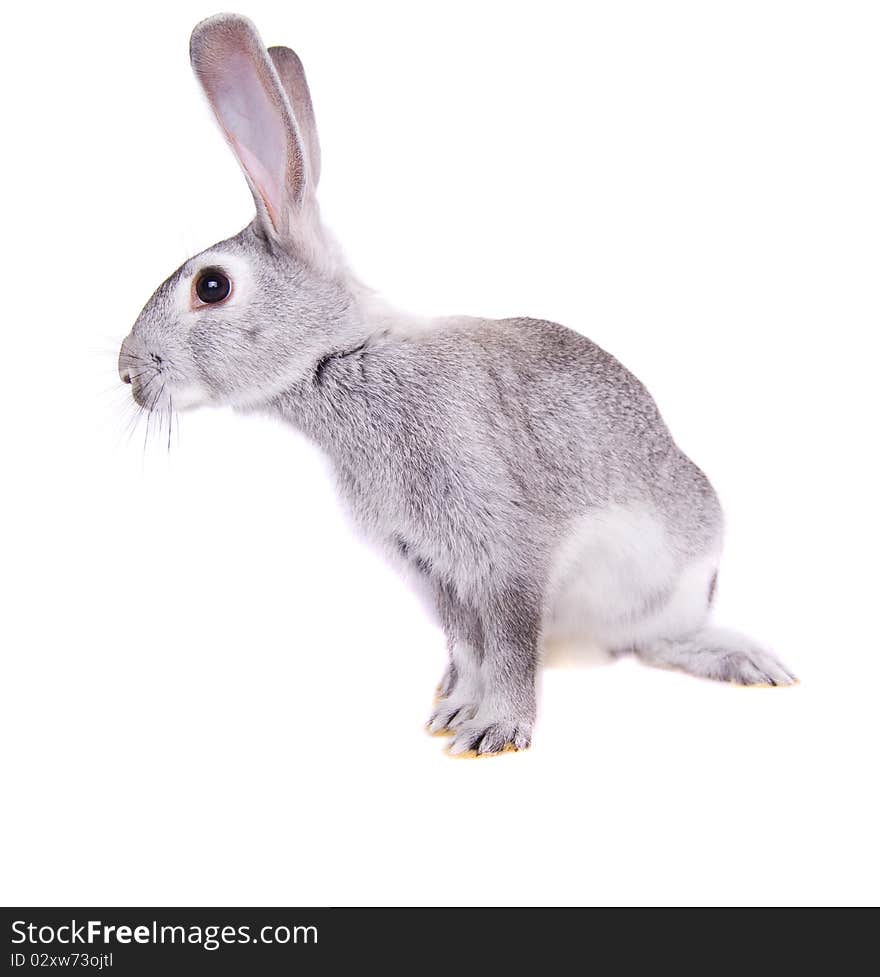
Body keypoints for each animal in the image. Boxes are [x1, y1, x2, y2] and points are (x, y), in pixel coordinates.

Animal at [118, 15, 796, 760]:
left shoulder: (507, 552)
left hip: (672, 580)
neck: (345, 358)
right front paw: (456, 714)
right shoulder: (433, 569)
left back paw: (750, 662)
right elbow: (473, 650)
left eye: (212, 286)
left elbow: (510, 647)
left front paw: (497, 730)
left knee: (662, 639)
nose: (128, 371)